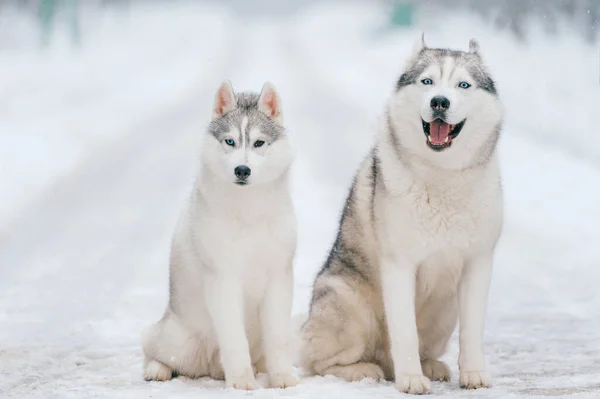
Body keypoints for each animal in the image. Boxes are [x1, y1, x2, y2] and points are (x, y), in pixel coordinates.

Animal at [141, 80, 300, 390]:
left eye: (258, 143)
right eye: (230, 142)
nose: (242, 169)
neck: (248, 212)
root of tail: (210, 368)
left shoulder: (279, 277)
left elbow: (277, 339)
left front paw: (282, 379)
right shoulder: (223, 279)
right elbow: (235, 340)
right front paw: (242, 383)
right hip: (176, 340)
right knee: (153, 351)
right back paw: (157, 370)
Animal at [300, 36, 506, 396]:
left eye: (463, 84)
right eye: (427, 81)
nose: (439, 102)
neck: (441, 178)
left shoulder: (477, 263)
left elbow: (472, 331)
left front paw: (474, 374)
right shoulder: (399, 265)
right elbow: (405, 333)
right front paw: (410, 379)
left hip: (445, 311)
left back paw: (431, 366)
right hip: (350, 306)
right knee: (319, 363)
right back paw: (365, 370)